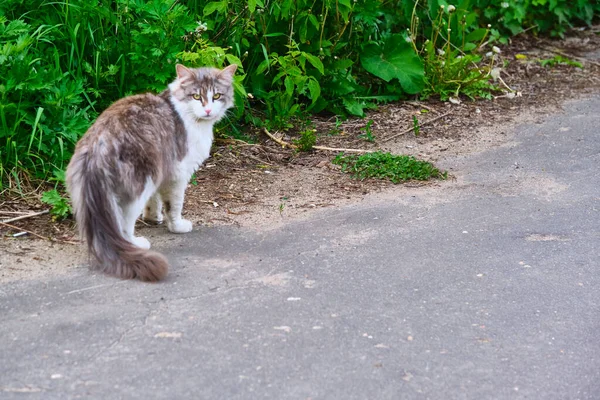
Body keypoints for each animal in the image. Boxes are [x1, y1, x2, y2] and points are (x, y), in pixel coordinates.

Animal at [67, 63, 237, 282]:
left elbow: (154, 201)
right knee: (124, 224)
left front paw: (152, 217)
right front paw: (177, 226)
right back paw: (137, 244)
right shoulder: (177, 173)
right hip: (140, 185)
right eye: (196, 96)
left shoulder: (161, 171)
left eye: (216, 96)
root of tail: (98, 144)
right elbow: (174, 206)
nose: (207, 110)